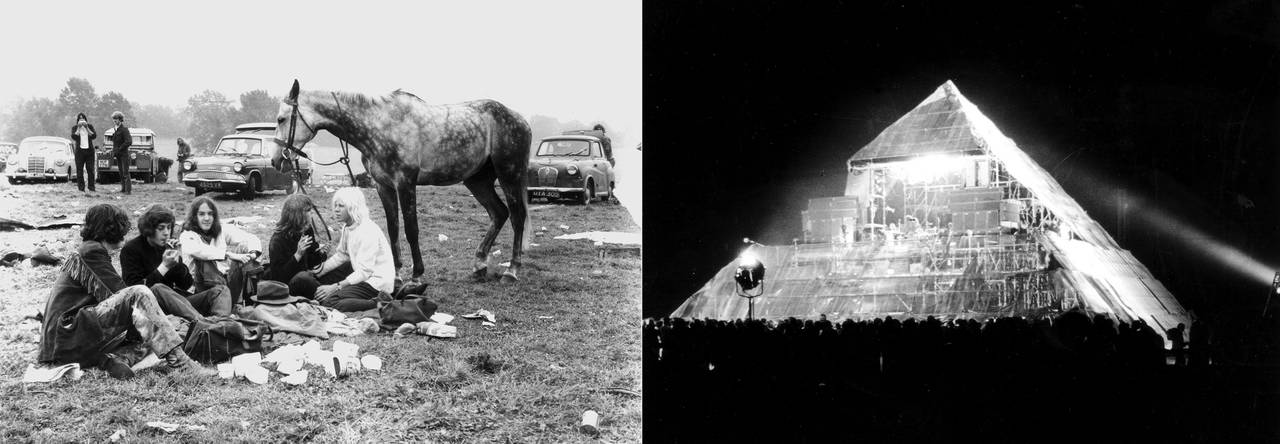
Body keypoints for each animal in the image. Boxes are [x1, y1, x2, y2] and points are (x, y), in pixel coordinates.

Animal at [270, 79, 529, 285]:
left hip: (510, 175)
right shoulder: (383, 186)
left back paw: (512, 270)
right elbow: (393, 228)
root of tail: (521, 120)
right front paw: (396, 274)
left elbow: (411, 229)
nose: (276, 160)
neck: (381, 126)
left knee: (517, 217)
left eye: (281, 119)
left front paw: (417, 274)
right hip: (477, 181)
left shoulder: (405, 184)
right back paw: (479, 265)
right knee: (499, 213)